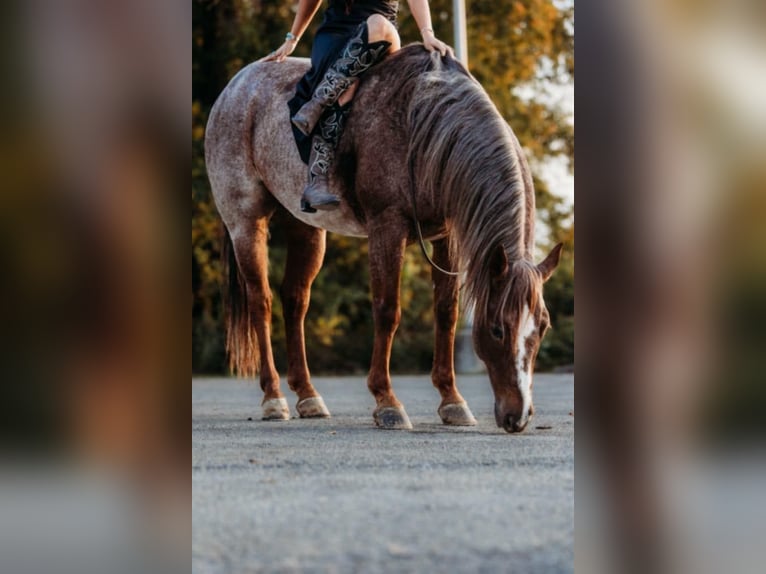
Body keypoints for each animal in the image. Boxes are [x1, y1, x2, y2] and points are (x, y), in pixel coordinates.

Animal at [206, 44, 564, 432]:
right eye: (498, 329)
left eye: (543, 326)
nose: (519, 417)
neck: (422, 126)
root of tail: (235, 88)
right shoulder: (386, 228)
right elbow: (387, 309)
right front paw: (387, 402)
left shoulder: (446, 237)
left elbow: (446, 312)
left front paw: (452, 401)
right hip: (246, 223)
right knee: (261, 301)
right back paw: (274, 398)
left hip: (306, 226)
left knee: (295, 300)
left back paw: (308, 396)